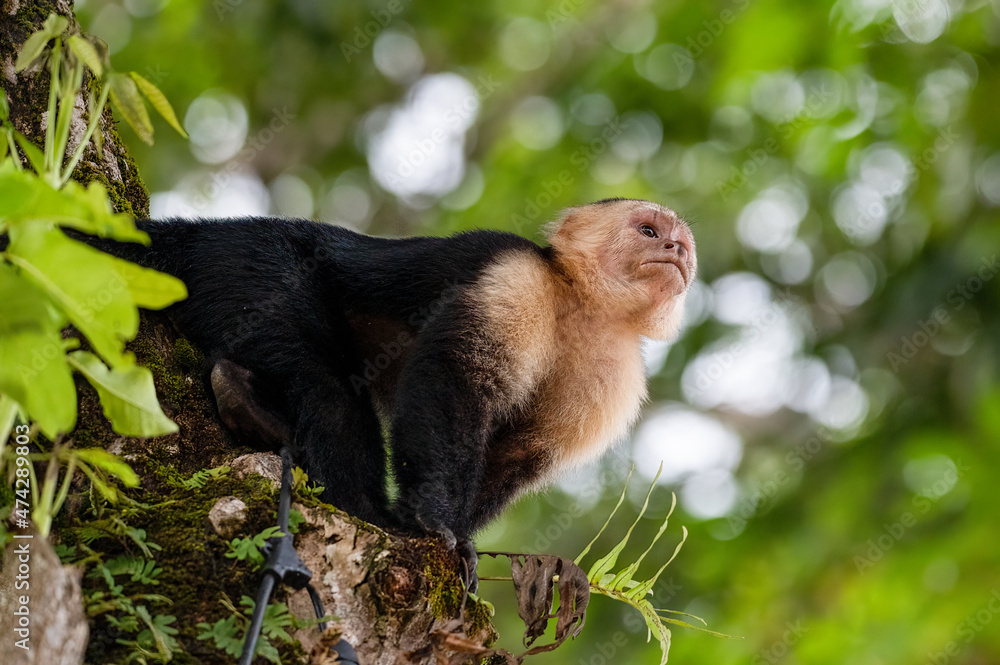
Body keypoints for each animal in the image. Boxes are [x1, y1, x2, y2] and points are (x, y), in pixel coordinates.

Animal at [86, 197, 696, 589]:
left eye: (683, 244)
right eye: (648, 231)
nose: (677, 250)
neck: (580, 302)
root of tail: (210, 232)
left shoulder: (614, 371)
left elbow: (518, 453)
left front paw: (458, 534)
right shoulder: (515, 278)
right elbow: (453, 383)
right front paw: (432, 523)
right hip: (252, 267)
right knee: (327, 385)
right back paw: (363, 508)